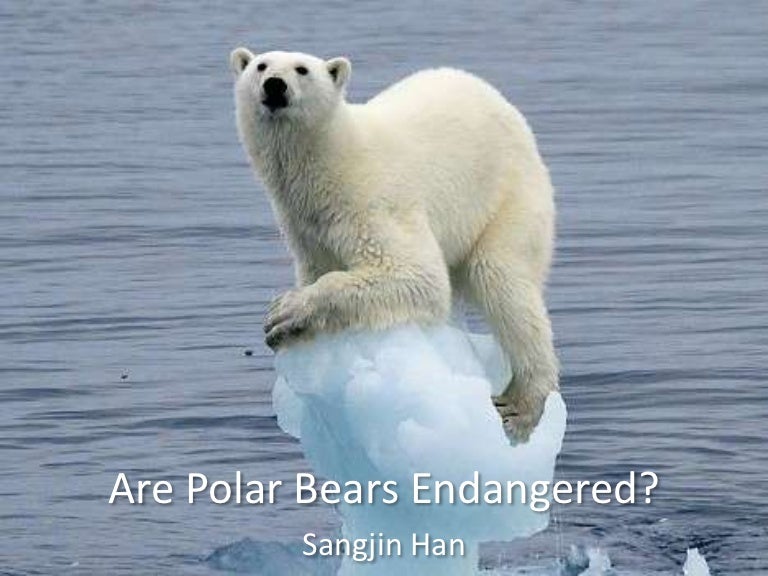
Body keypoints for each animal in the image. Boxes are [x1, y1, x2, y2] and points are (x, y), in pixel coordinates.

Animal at [230, 48, 558, 440]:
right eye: (261, 65)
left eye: (302, 69)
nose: (274, 85)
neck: (331, 159)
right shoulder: (306, 227)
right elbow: (319, 268)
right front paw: (290, 329)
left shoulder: (370, 202)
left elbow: (414, 273)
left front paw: (285, 312)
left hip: (509, 196)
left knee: (502, 280)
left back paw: (521, 405)